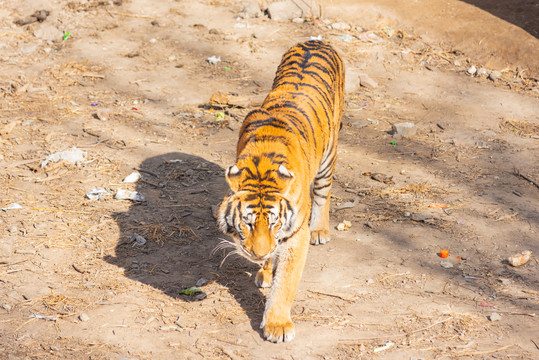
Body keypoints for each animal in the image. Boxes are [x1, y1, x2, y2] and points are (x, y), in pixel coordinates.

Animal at [216, 40, 346, 344]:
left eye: (274, 221)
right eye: (247, 223)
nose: (258, 254)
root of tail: (318, 40)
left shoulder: (296, 234)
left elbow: (286, 282)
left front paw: (277, 325)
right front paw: (264, 270)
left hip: (329, 154)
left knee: (324, 190)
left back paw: (320, 229)